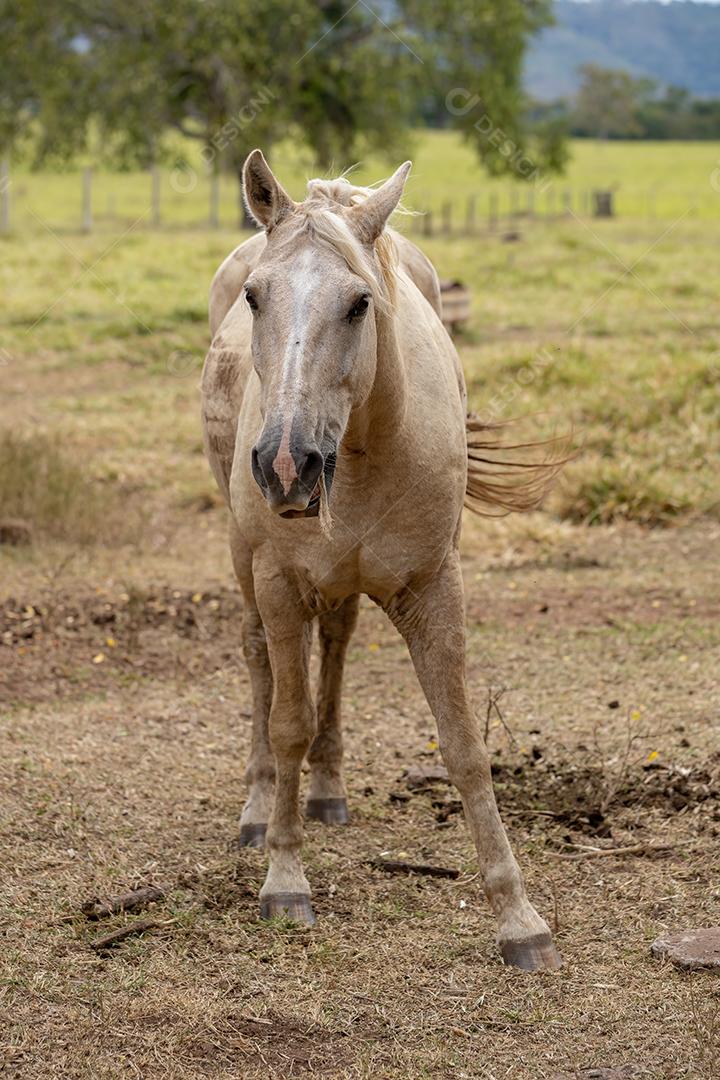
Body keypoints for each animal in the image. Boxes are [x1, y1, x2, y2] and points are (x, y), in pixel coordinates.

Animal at [201, 150, 561, 972]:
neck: (363, 450)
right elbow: (288, 723)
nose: (285, 465)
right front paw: (284, 878)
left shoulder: (433, 588)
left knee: (334, 648)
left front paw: (519, 917)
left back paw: (328, 791)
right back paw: (259, 805)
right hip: (246, 562)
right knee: (260, 662)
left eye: (360, 303)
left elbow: (464, 745)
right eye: (255, 297)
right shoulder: (277, 582)